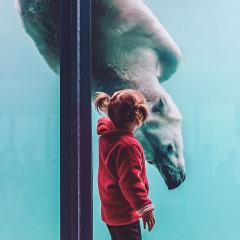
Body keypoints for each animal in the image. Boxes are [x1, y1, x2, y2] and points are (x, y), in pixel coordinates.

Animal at [17, 0, 186, 189]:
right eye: (150, 160)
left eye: (169, 147)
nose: (174, 182)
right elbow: (172, 54)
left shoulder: (132, 32)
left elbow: (172, 54)